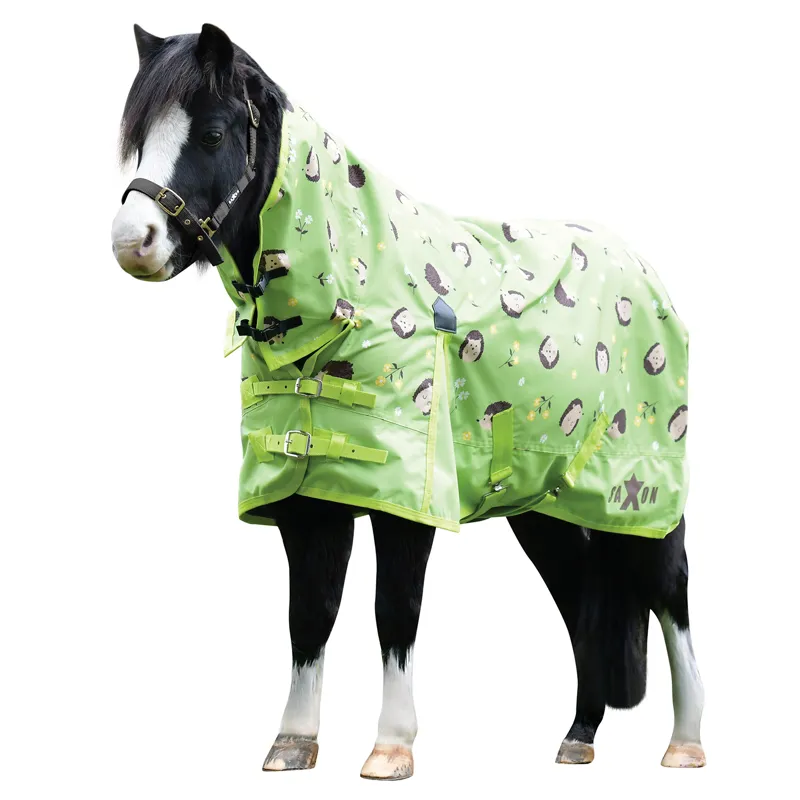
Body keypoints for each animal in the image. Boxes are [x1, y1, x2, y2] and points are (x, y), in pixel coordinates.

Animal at [110, 23, 705, 779]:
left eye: (213, 133)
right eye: (137, 141)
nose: (133, 242)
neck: (350, 292)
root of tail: (646, 273)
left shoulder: (408, 500)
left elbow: (394, 610)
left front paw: (391, 746)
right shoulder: (309, 499)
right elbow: (310, 614)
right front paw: (292, 742)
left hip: (643, 495)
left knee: (670, 592)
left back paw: (685, 743)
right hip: (546, 507)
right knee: (582, 598)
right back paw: (579, 736)